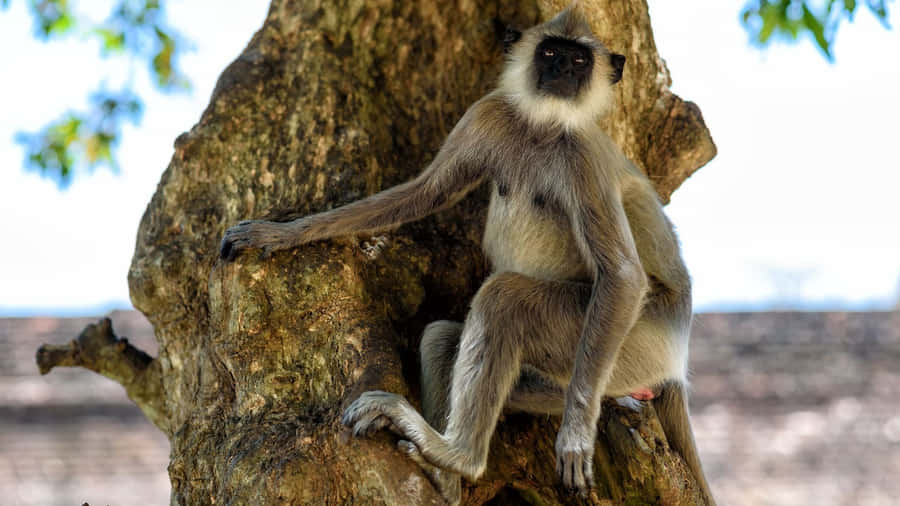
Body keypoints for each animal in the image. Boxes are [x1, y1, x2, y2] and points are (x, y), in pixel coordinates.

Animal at [220, 4, 714, 505]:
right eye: (550, 52)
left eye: (578, 61)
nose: (560, 70)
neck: (541, 125)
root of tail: (675, 358)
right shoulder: (488, 114)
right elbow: (423, 193)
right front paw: (279, 234)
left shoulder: (585, 154)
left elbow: (622, 275)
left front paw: (575, 436)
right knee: (443, 335)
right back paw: (444, 477)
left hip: (634, 342)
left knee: (505, 297)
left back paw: (457, 456)